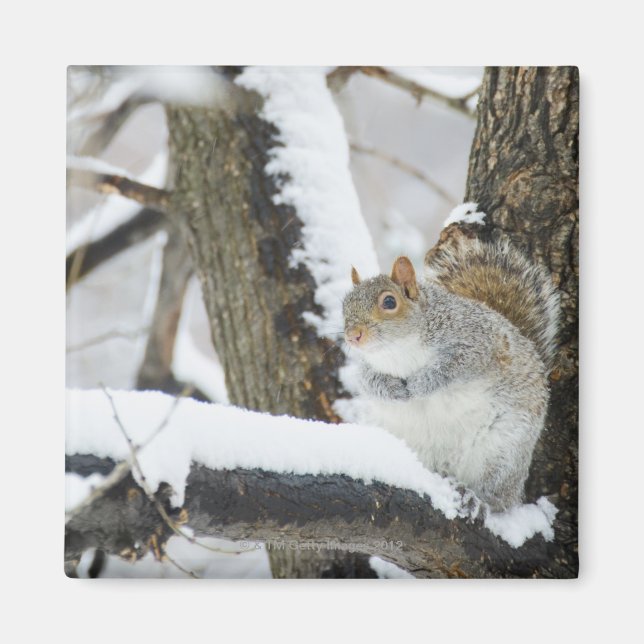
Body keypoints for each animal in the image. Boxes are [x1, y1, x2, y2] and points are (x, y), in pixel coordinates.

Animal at [342, 224, 559, 512]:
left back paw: (480, 500)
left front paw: (419, 385)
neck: (398, 352)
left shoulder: (476, 344)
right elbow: (369, 383)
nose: (353, 336)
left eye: (389, 302)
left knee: (499, 498)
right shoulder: (367, 367)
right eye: (344, 306)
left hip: (503, 453)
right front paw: (392, 390)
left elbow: (451, 368)